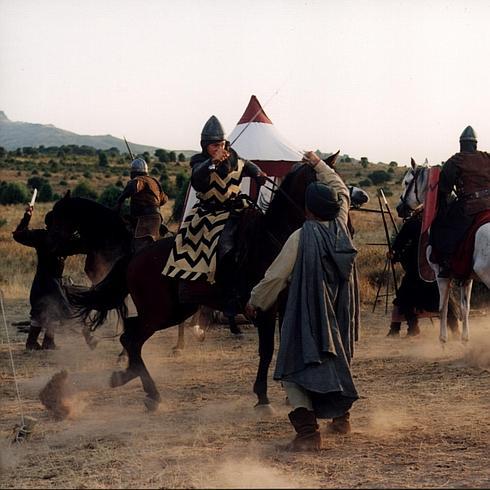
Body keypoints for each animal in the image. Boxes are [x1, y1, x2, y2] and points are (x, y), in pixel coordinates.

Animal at [48, 163, 318, 412]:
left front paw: (286, 392)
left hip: (171, 311)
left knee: (131, 336)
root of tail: (135, 258)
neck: (272, 240)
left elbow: (284, 348)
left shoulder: (282, 306)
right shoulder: (265, 309)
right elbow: (268, 350)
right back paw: (150, 390)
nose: (54, 246)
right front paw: (263, 397)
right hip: (160, 313)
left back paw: (131, 378)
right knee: (131, 338)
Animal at [396, 159, 488, 342]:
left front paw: (443, 339)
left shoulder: (441, 274)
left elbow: (443, 307)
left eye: (407, 182)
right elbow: (464, 307)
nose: (399, 208)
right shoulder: (466, 276)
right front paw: (465, 339)